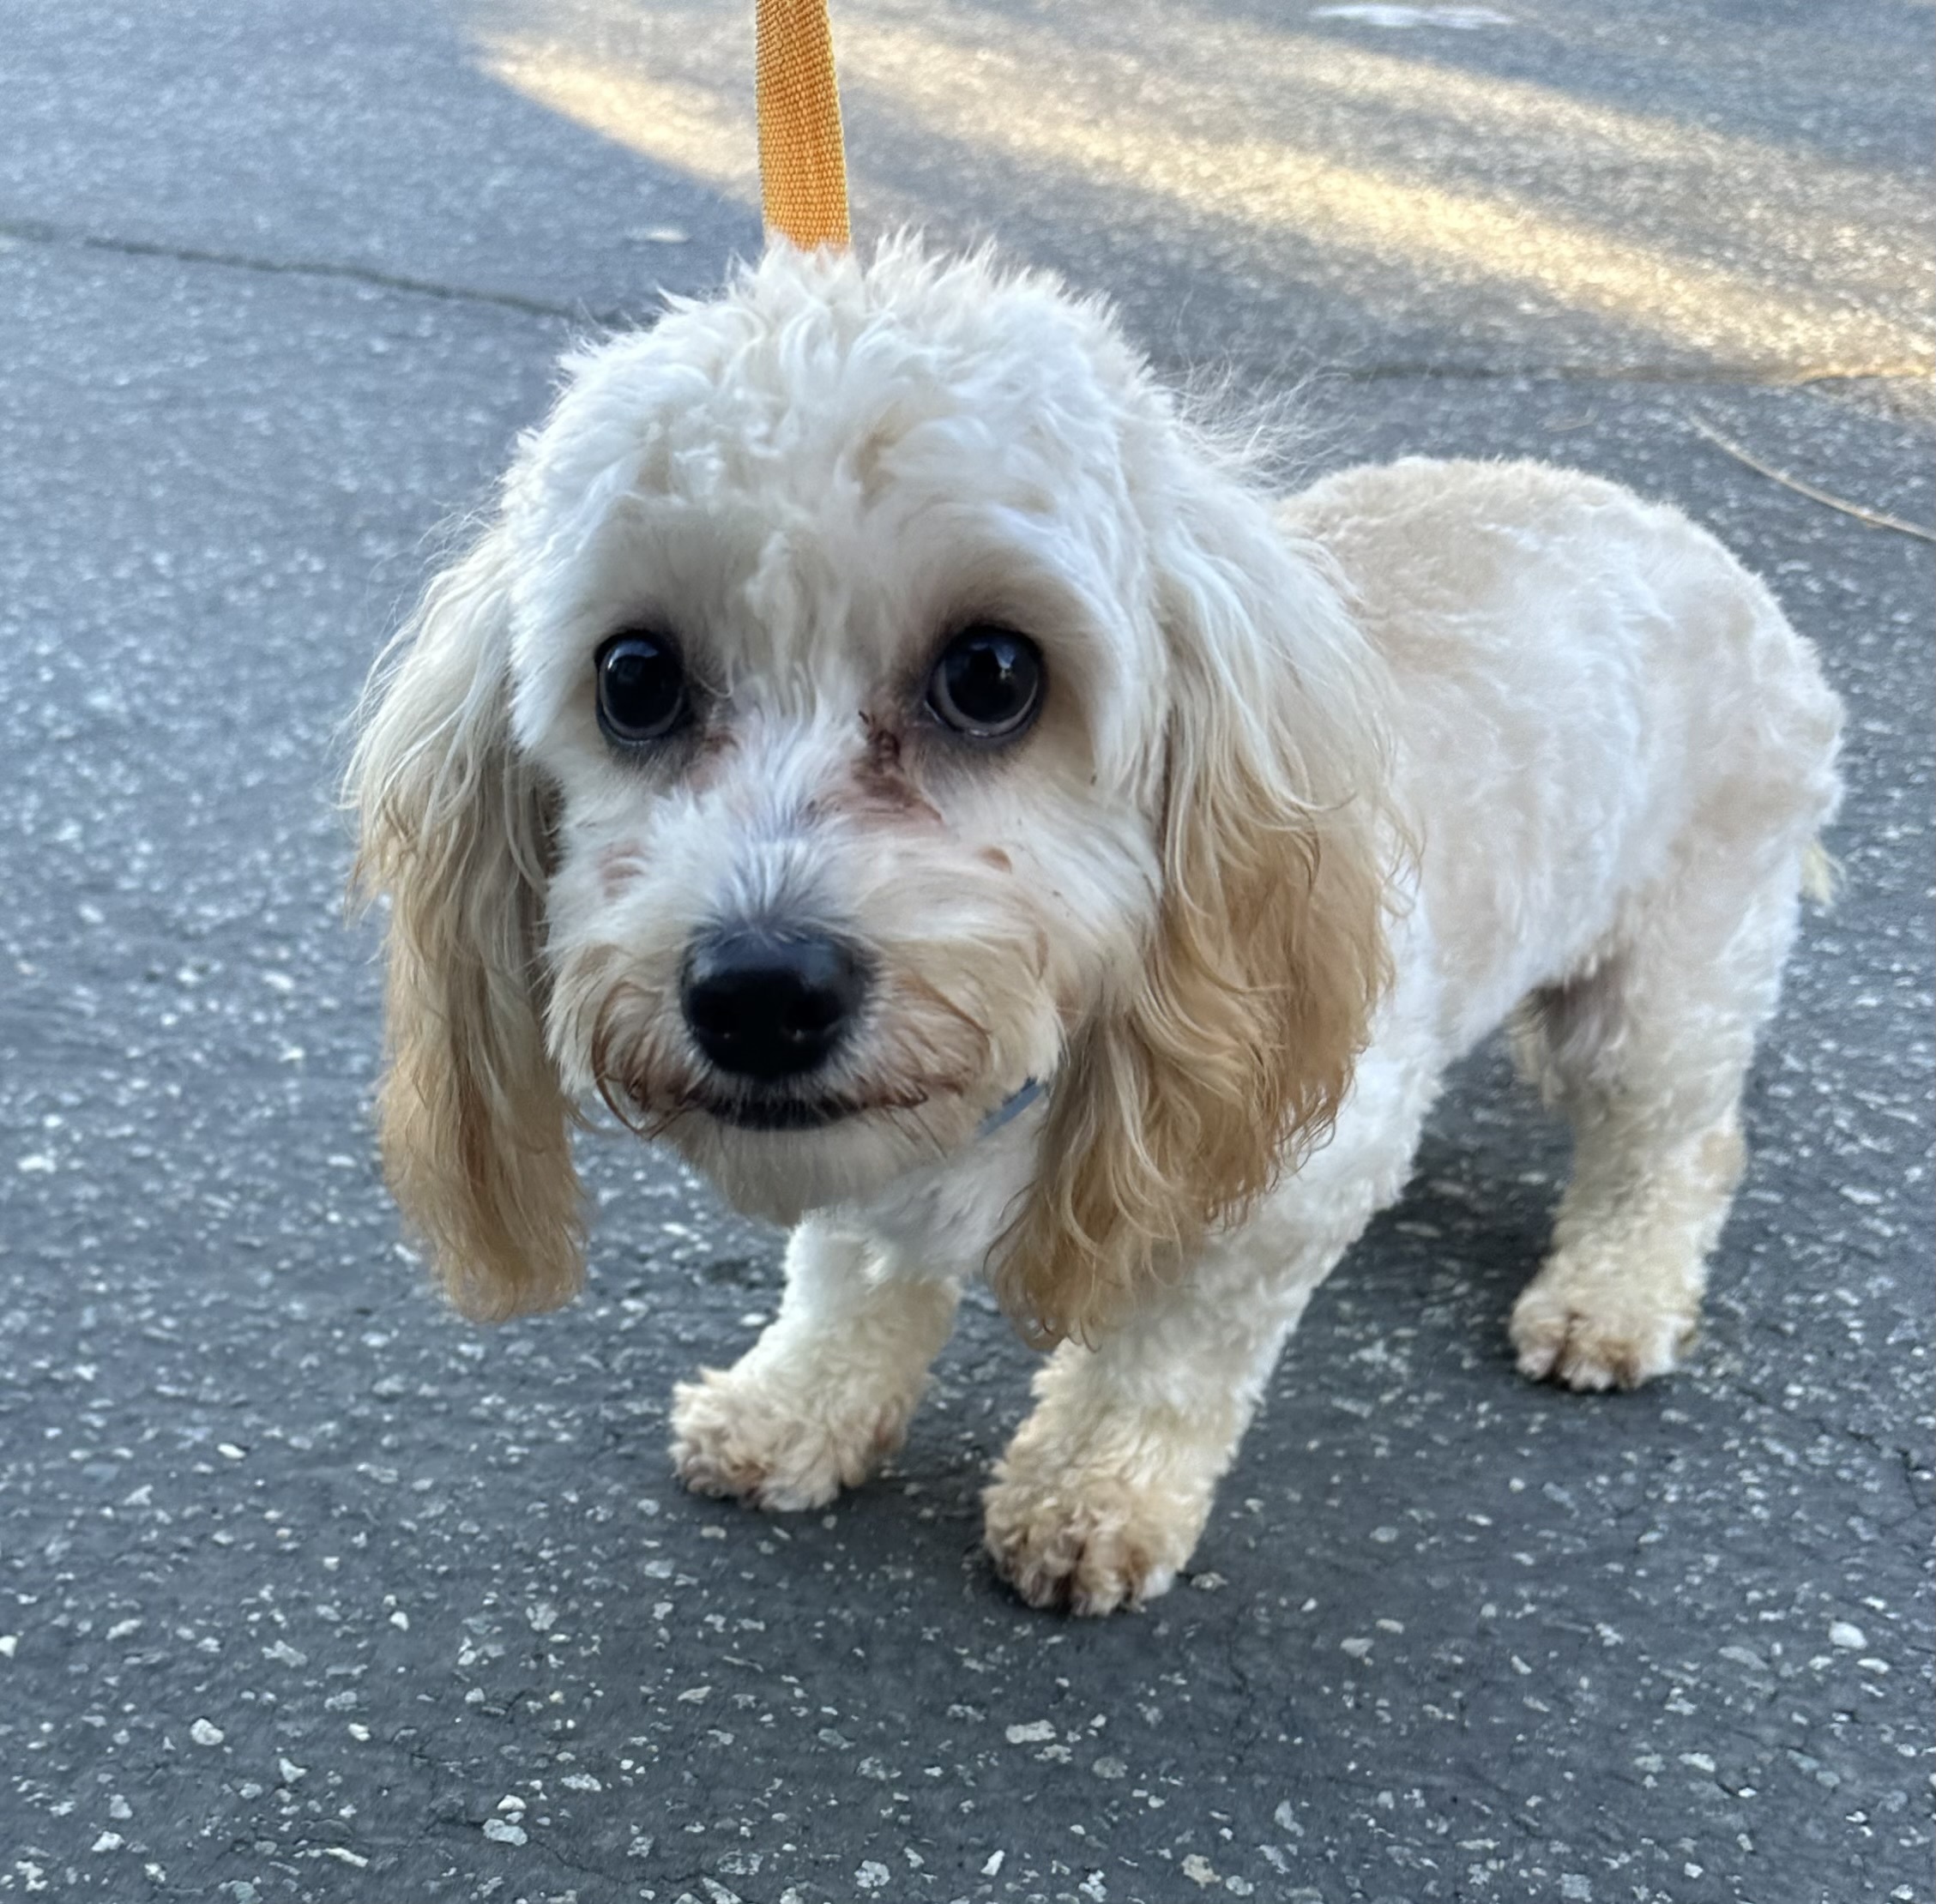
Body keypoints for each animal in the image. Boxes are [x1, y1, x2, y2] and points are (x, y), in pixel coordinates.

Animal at [348, 233, 1843, 1610]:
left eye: (993, 673)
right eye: (635, 677)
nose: (759, 992)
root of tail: (1690, 537)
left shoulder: (1277, 1206)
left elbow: (1165, 1358)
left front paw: (1092, 1494)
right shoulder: (870, 1175)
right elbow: (847, 1277)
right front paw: (797, 1405)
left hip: (1669, 980)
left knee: (1679, 1144)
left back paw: (1613, 1295)